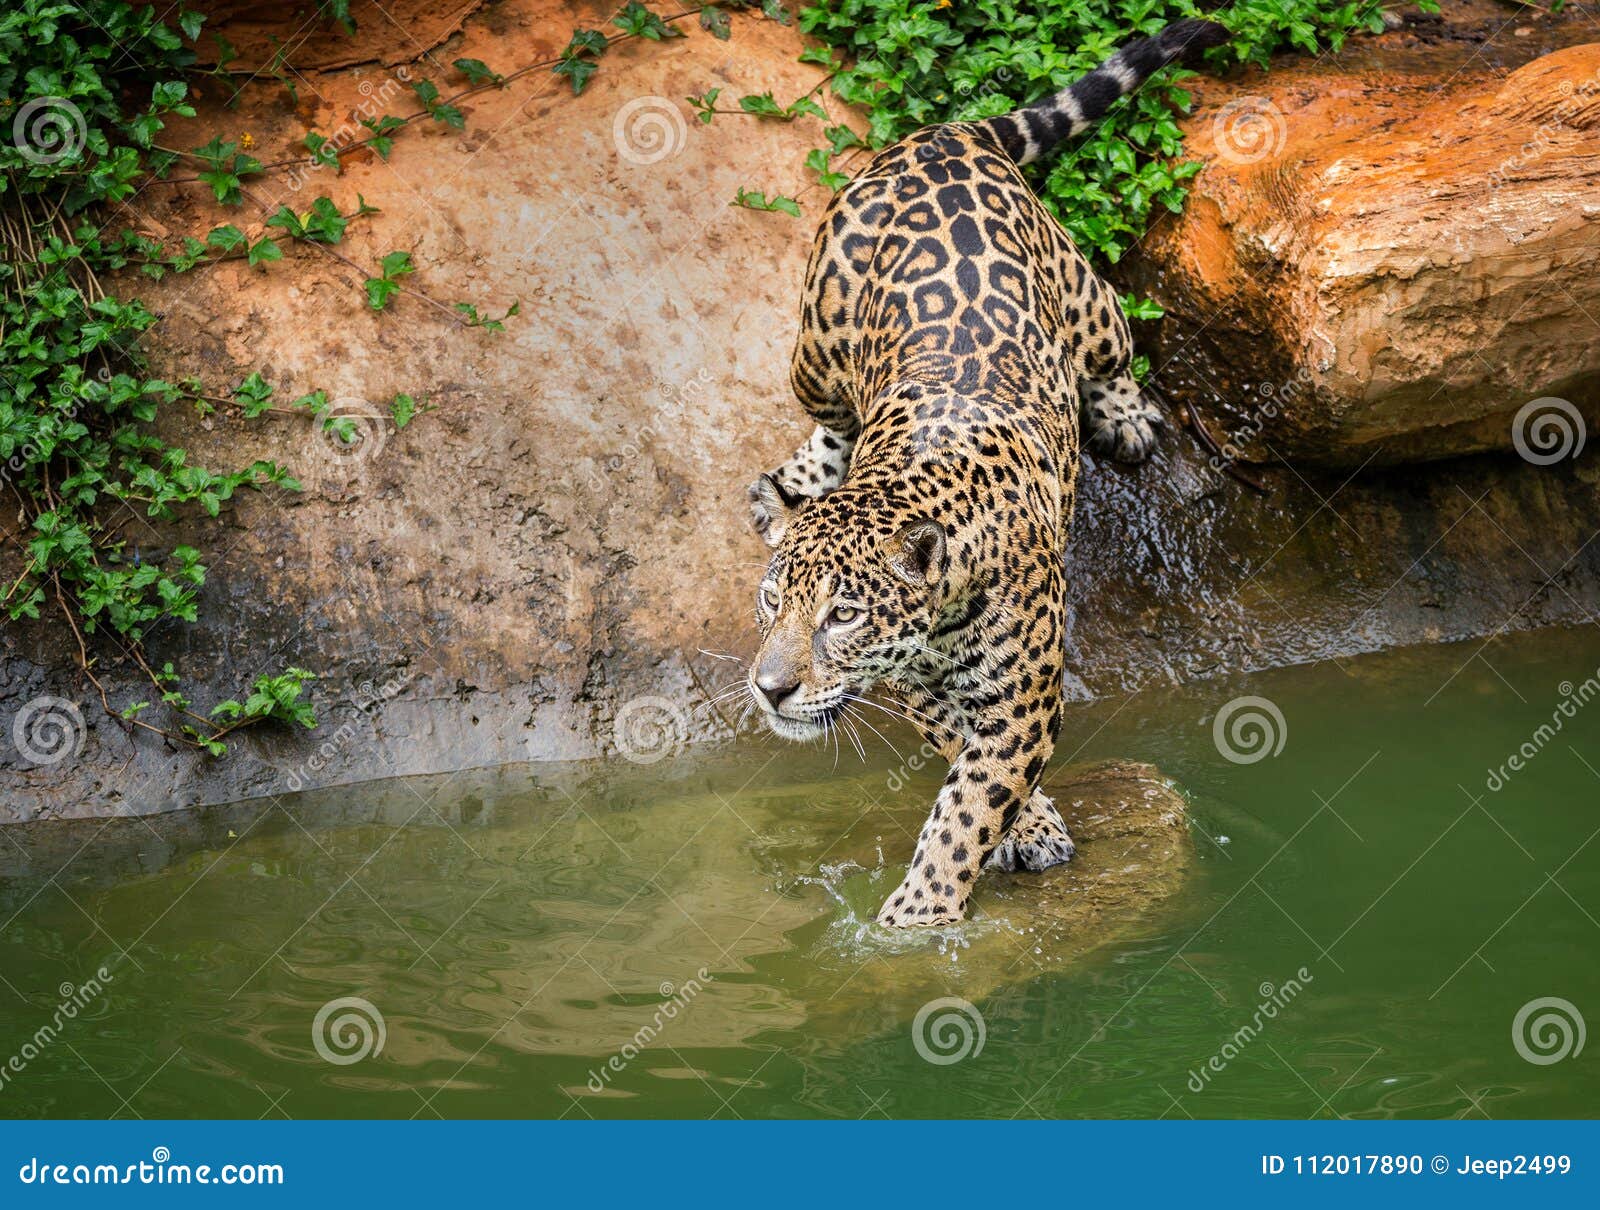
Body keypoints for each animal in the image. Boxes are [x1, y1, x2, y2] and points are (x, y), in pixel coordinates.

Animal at [742, 19, 1230, 927]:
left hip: (1087, 302)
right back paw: (788, 485)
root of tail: (944, 134)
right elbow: (959, 751)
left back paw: (1125, 416)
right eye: (770, 603)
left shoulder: (1022, 696)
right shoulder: (915, 685)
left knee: (1112, 352)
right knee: (829, 419)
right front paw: (1029, 827)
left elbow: (968, 805)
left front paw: (912, 923)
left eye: (842, 616)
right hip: (817, 344)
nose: (769, 690)